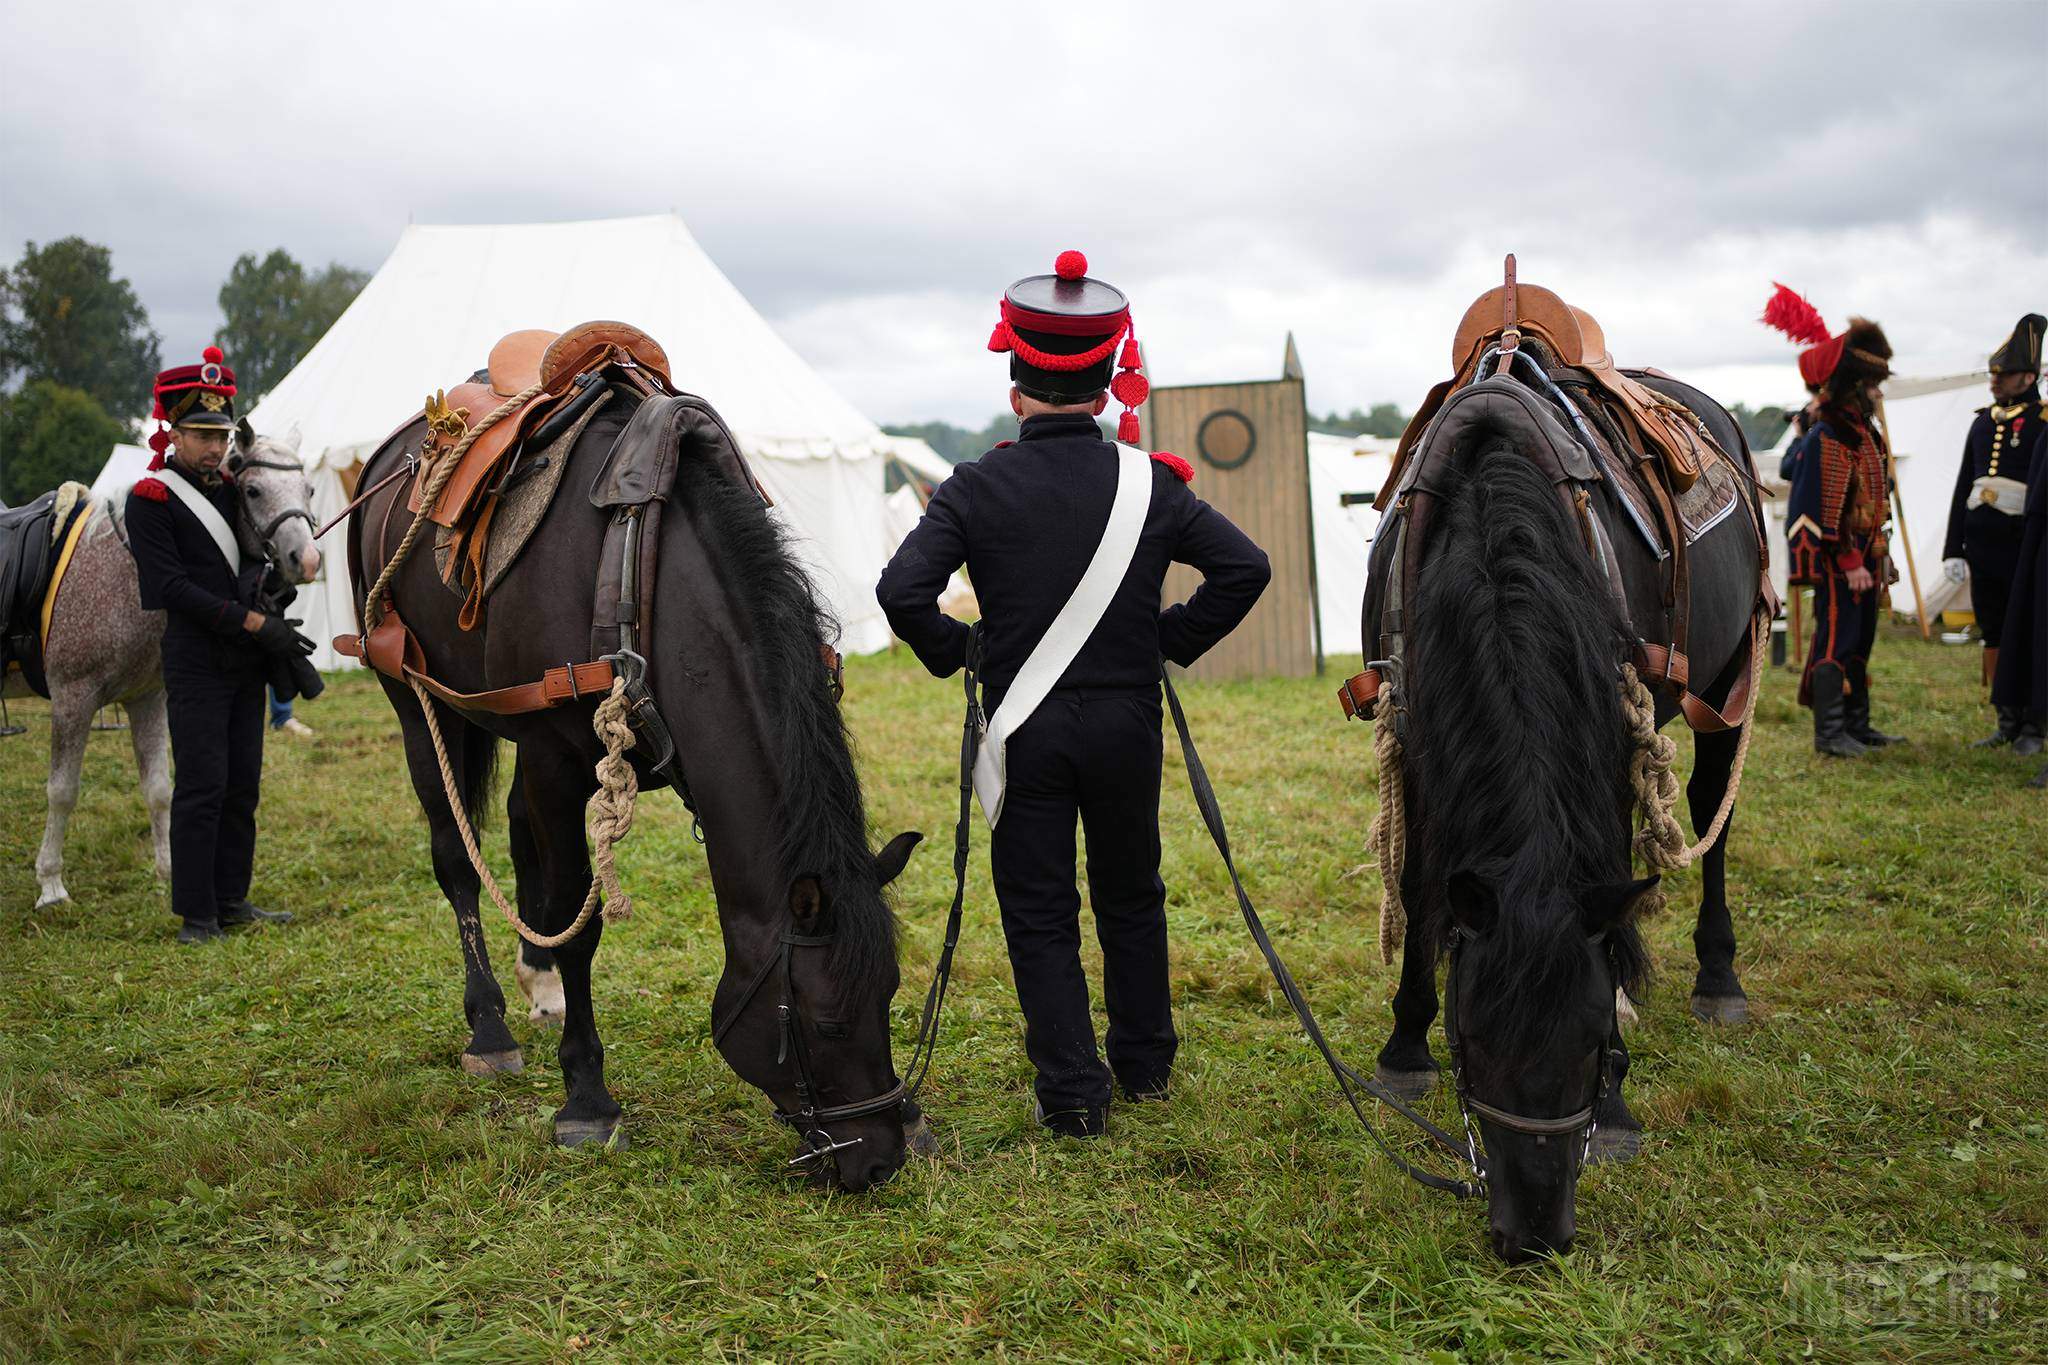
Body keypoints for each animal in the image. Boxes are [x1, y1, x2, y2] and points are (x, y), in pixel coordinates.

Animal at [350, 388, 921, 1186]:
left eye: (890, 995)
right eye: (826, 1021)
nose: (878, 1159)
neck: (638, 571)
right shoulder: (553, 757)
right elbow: (577, 920)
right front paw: (586, 1098)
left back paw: (538, 984)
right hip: (413, 698)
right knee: (456, 856)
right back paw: (489, 1023)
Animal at [1359, 351, 1761, 1260]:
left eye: (1590, 1045)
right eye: (1471, 1042)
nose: (1535, 1231)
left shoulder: (1610, 730)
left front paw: (1615, 1109)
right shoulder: (1419, 730)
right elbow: (1423, 885)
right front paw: (1404, 1044)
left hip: (1726, 681)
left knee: (1711, 811)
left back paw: (1719, 976)